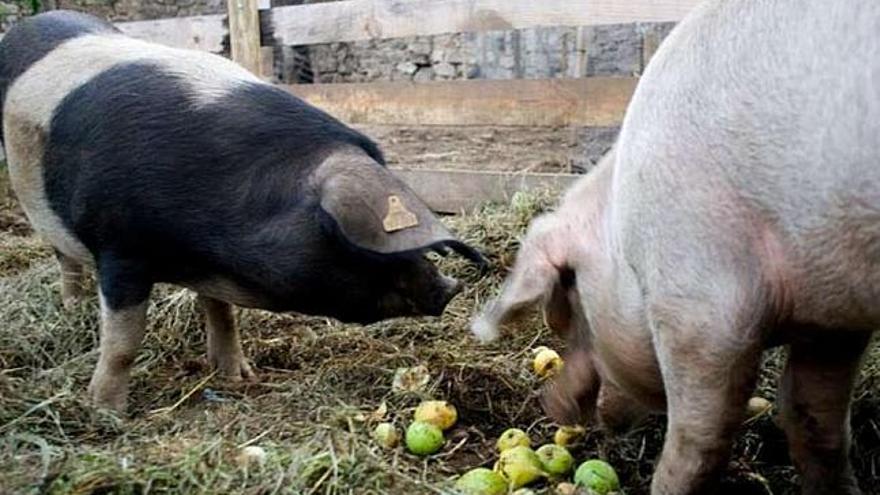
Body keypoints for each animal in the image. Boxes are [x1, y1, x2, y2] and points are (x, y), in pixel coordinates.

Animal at [1, 11, 482, 414]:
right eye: (355, 244)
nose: (451, 286)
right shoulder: (120, 250)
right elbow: (124, 342)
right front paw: (107, 414)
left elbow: (223, 313)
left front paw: (239, 376)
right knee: (63, 255)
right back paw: (73, 307)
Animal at [474, 0, 880, 494]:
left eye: (571, 319)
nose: (551, 407)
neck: (622, 236)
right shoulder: (833, 322)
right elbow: (812, 419)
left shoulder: (699, 307)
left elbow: (698, 441)